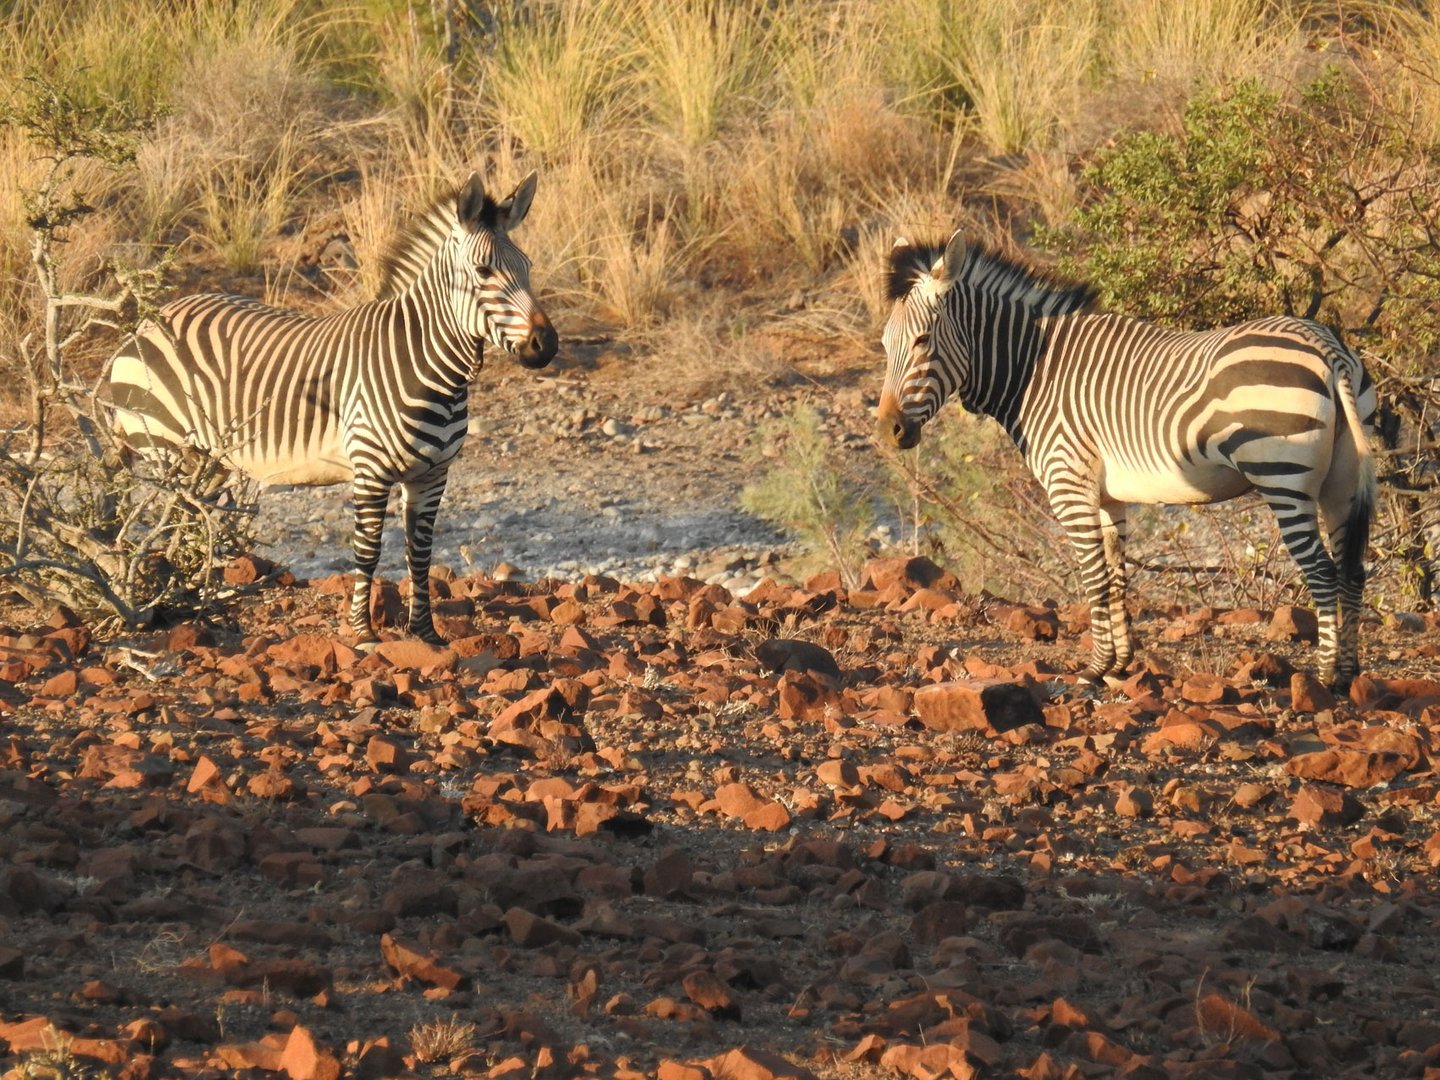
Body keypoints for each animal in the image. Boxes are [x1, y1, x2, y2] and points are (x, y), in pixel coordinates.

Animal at [105, 173, 555, 648]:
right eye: (484, 272)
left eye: (527, 267)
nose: (547, 345)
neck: (428, 366)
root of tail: (149, 320)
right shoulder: (371, 468)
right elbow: (368, 551)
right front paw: (363, 632)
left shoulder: (433, 474)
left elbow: (420, 553)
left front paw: (425, 633)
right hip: (167, 449)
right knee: (173, 526)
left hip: (207, 462)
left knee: (191, 525)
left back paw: (196, 601)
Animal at [869, 236, 1376, 694]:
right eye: (885, 346)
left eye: (922, 341)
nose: (889, 430)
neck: (1032, 368)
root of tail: (1326, 347)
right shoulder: (1107, 495)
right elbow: (1116, 576)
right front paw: (1118, 664)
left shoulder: (1068, 482)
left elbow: (1094, 577)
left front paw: (1093, 669)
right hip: (1342, 481)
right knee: (1352, 570)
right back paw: (1348, 674)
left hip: (1283, 477)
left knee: (1322, 571)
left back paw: (1324, 678)